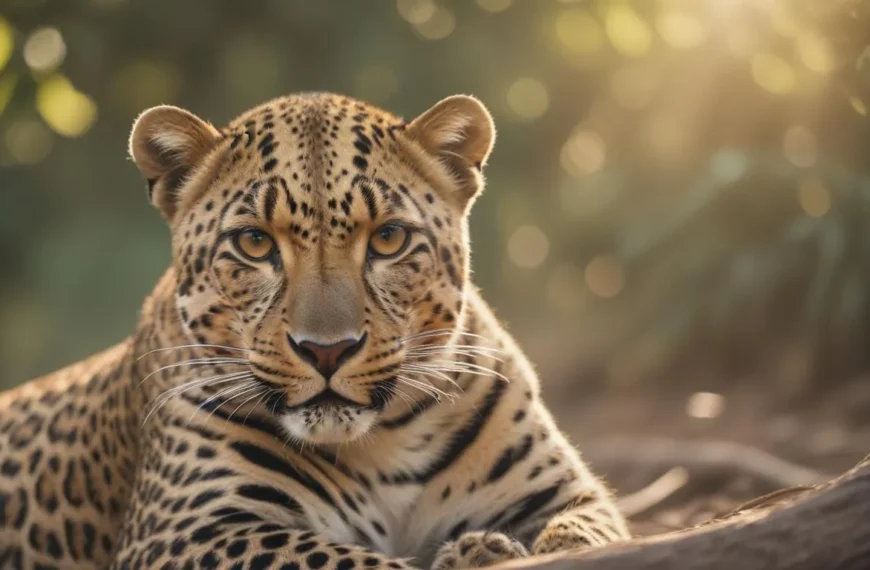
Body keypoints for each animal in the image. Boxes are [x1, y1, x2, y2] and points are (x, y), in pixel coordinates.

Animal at [0, 92, 629, 570]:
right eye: (255, 244)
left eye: (389, 239)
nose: (328, 352)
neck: (383, 444)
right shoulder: (184, 530)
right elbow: (350, 562)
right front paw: (474, 554)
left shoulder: (565, 493)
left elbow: (582, 532)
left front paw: (491, 549)